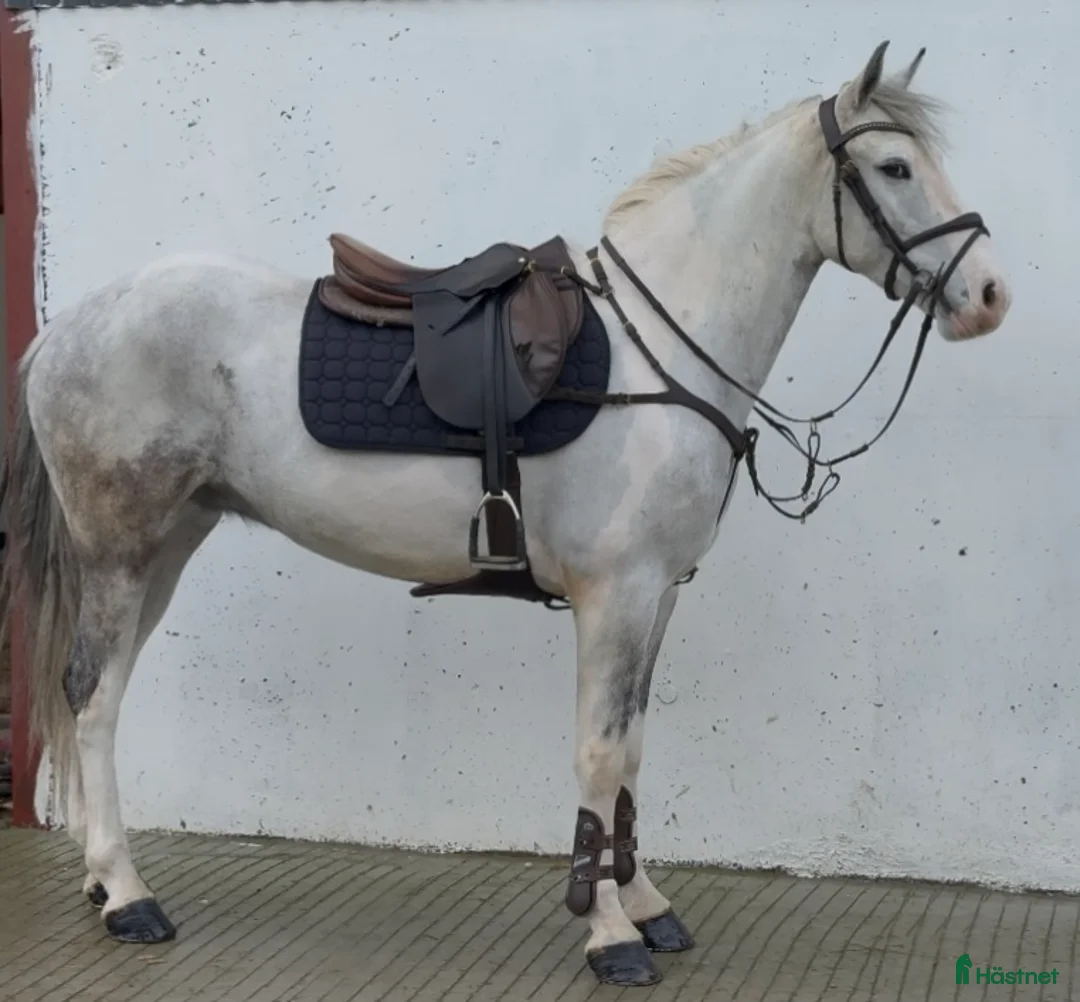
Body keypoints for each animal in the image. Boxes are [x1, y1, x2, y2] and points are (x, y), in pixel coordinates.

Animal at [0, 40, 1010, 987]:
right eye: (895, 167)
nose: (990, 296)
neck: (659, 349)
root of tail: (66, 329)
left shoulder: (659, 595)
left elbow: (633, 751)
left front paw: (648, 907)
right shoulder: (615, 595)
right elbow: (600, 754)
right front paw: (610, 936)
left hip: (167, 546)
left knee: (103, 695)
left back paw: (101, 880)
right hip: (120, 550)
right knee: (91, 695)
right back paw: (128, 897)